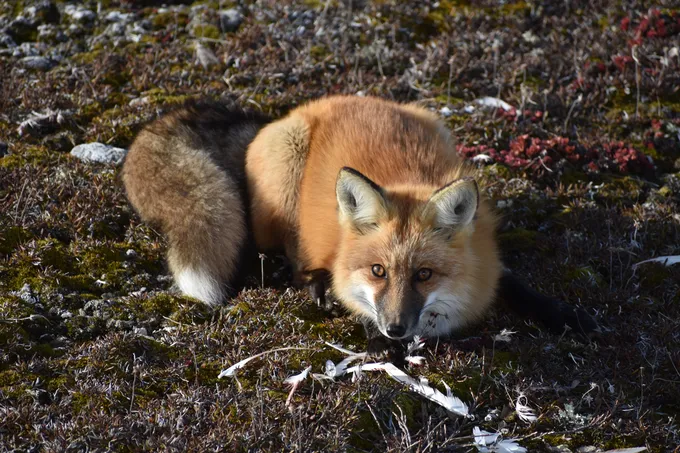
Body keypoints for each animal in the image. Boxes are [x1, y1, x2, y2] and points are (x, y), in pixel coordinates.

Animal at [122, 95, 596, 351]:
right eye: (378, 271)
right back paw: (313, 282)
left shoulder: (486, 258)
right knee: (282, 251)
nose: (396, 329)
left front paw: (560, 314)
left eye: (424, 274)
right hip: (286, 175)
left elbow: (513, 282)